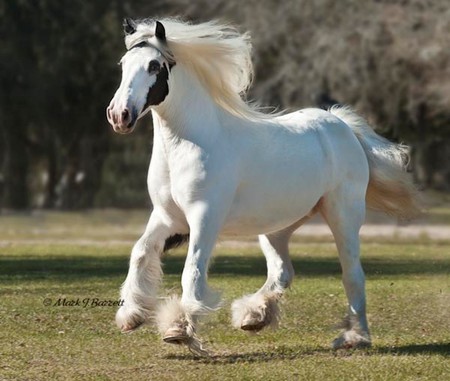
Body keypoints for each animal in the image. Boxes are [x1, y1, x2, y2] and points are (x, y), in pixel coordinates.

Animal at [107, 17, 420, 350]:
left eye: (154, 66)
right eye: (123, 63)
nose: (119, 115)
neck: (187, 144)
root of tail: (342, 126)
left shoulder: (204, 217)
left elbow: (192, 271)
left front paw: (179, 328)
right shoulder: (168, 218)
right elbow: (140, 252)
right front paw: (131, 316)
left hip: (343, 215)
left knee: (352, 274)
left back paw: (355, 336)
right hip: (277, 227)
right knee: (283, 271)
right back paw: (253, 316)